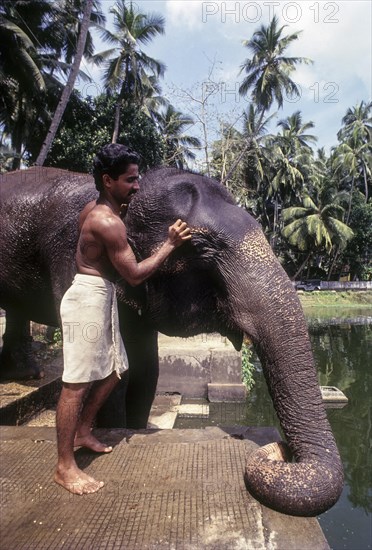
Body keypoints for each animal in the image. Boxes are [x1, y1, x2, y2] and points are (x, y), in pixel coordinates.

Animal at [0, 166, 342, 520]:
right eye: (202, 248)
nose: (280, 449)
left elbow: (146, 372)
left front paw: (134, 427)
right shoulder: (68, 260)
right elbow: (117, 378)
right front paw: (113, 433)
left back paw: (25, 374)